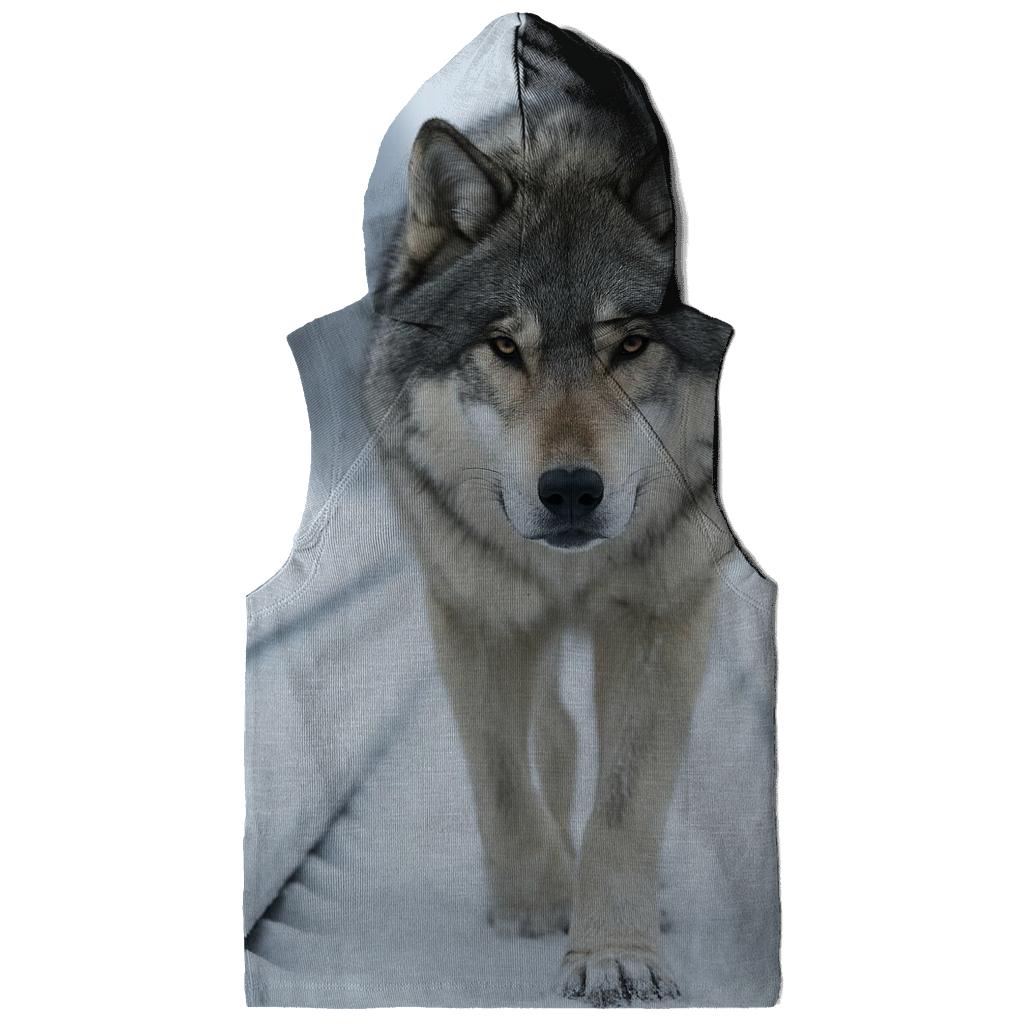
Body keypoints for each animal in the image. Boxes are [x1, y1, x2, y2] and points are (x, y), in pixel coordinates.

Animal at [363, 85, 735, 1005]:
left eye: (631, 344)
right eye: (505, 346)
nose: (570, 490)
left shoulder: (662, 616)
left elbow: (627, 804)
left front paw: (614, 953)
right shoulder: (478, 611)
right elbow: (499, 772)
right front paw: (535, 903)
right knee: (553, 736)